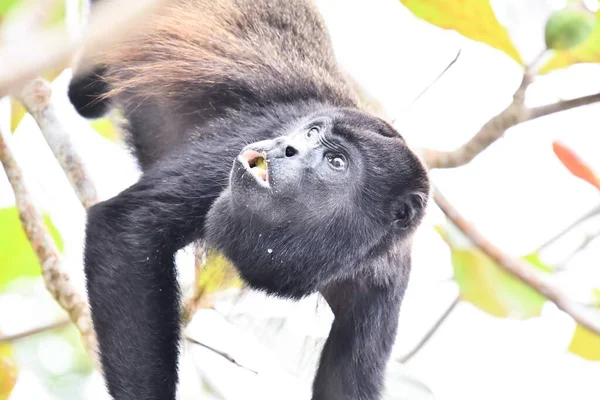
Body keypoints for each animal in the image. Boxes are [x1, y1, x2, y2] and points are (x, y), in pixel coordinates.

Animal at [68, 0, 428, 400]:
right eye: (311, 131)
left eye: (337, 161)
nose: (287, 147)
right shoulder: (254, 134)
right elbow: (127, 226)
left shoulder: (385, 286)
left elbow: (345, 385)